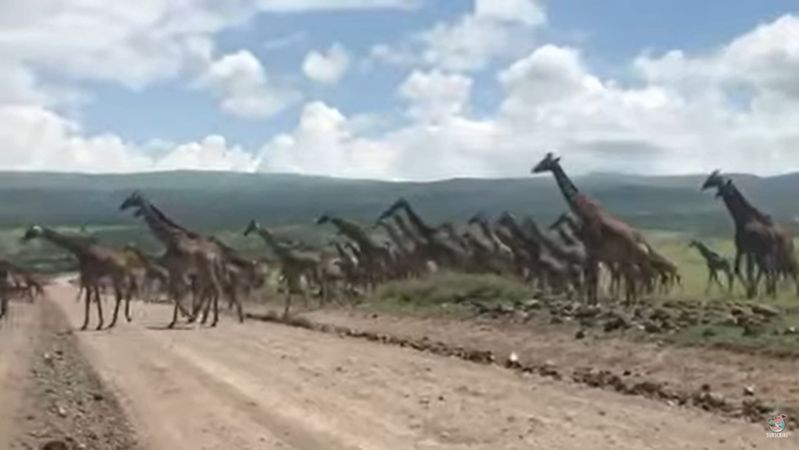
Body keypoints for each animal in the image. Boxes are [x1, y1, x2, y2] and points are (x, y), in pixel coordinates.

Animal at [532, 154, 656, 306]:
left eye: (545, 162)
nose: (534, 169)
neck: (581, 207)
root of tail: (644, 245)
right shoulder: (593, 254)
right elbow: (592, 278)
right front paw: (592, 301)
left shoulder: (592, 251)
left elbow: (592, 278)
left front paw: (591, 301)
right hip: (627, 261)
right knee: (634, 279)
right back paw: (630, 301)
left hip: (629, 260)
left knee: (637, 279)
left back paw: (632, 302)